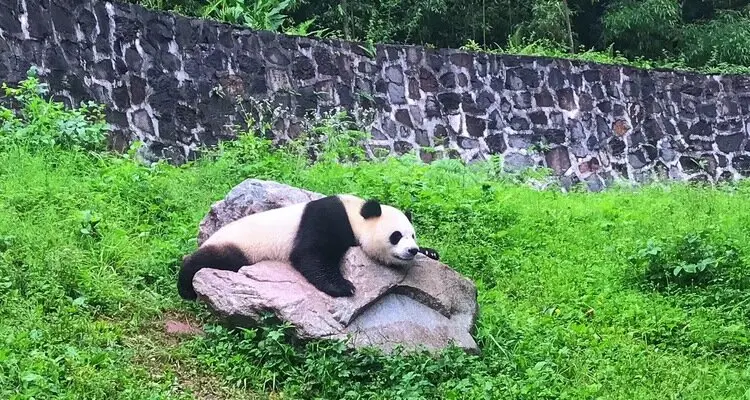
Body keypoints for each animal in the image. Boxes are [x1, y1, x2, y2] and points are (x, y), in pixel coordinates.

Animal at [178, 194, 440, 300]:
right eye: (396, 236)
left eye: (413, 235)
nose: (412, 250)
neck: (355, 214)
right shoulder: (327, 218)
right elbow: (310, 255)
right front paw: (343, 286)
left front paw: (430, 252)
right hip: (238, 246)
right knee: (208, 260)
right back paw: (186, 288)